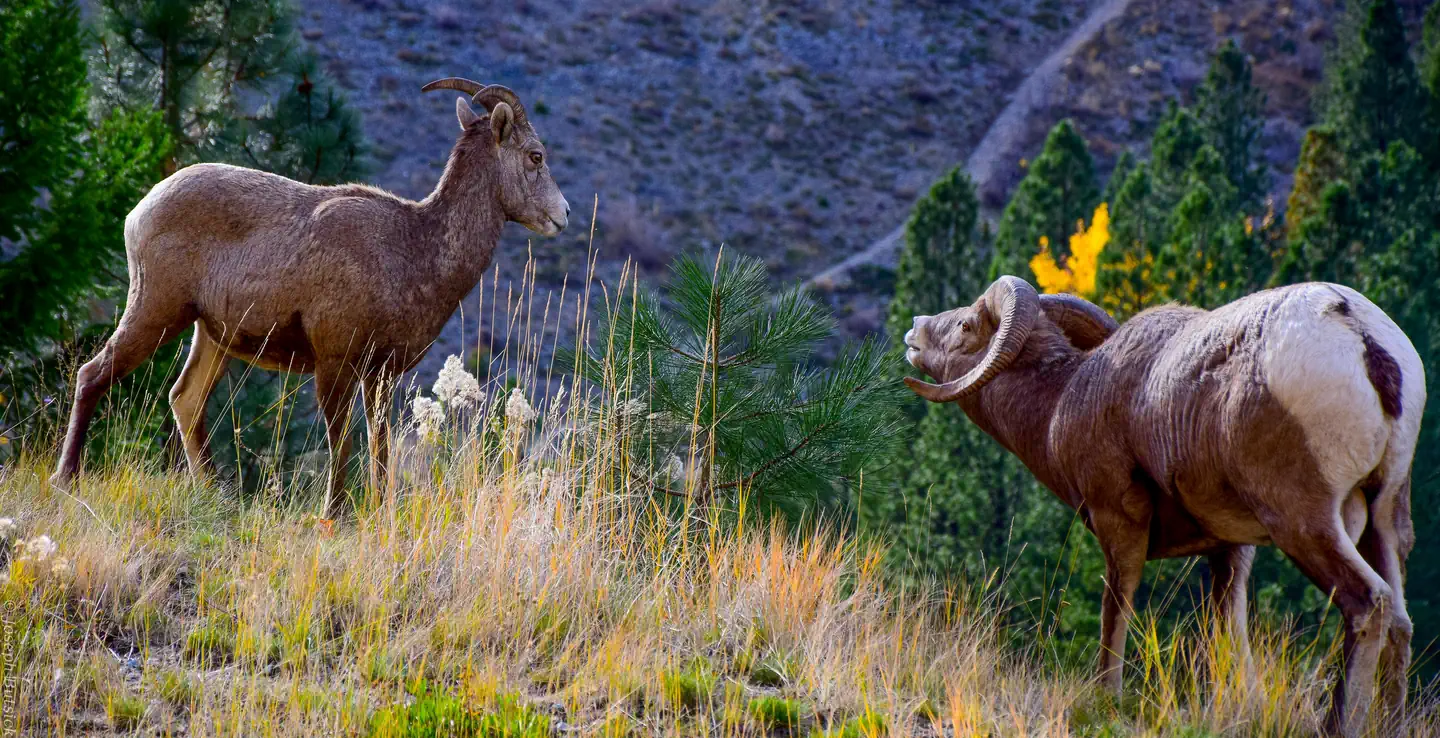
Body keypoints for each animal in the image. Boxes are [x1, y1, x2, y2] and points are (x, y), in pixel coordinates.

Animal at [50, 77, 570, 515]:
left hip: (212, 337)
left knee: (185, 400)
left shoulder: (380, 377)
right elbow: (341, 443)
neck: (414, 250)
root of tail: (139, 212)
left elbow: (379, 447)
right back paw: (66, 481)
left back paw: (219, 496)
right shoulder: (334, 364)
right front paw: (332, 516)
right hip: (157, 309)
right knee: (93, 375)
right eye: (535, 156)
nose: (563, 214)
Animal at [903, 276, 1424, 736]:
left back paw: (1337, 726)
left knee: (1369, 605)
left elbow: (1116, 612)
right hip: (1383, 519)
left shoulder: (1119, 521)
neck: (1062, 400)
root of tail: (1357, 330)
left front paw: (1106, 700)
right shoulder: (1231, 549)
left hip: (1305, 524)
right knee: (1399, 622)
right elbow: (1230, 635)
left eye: (966, 324)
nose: (914, 329)